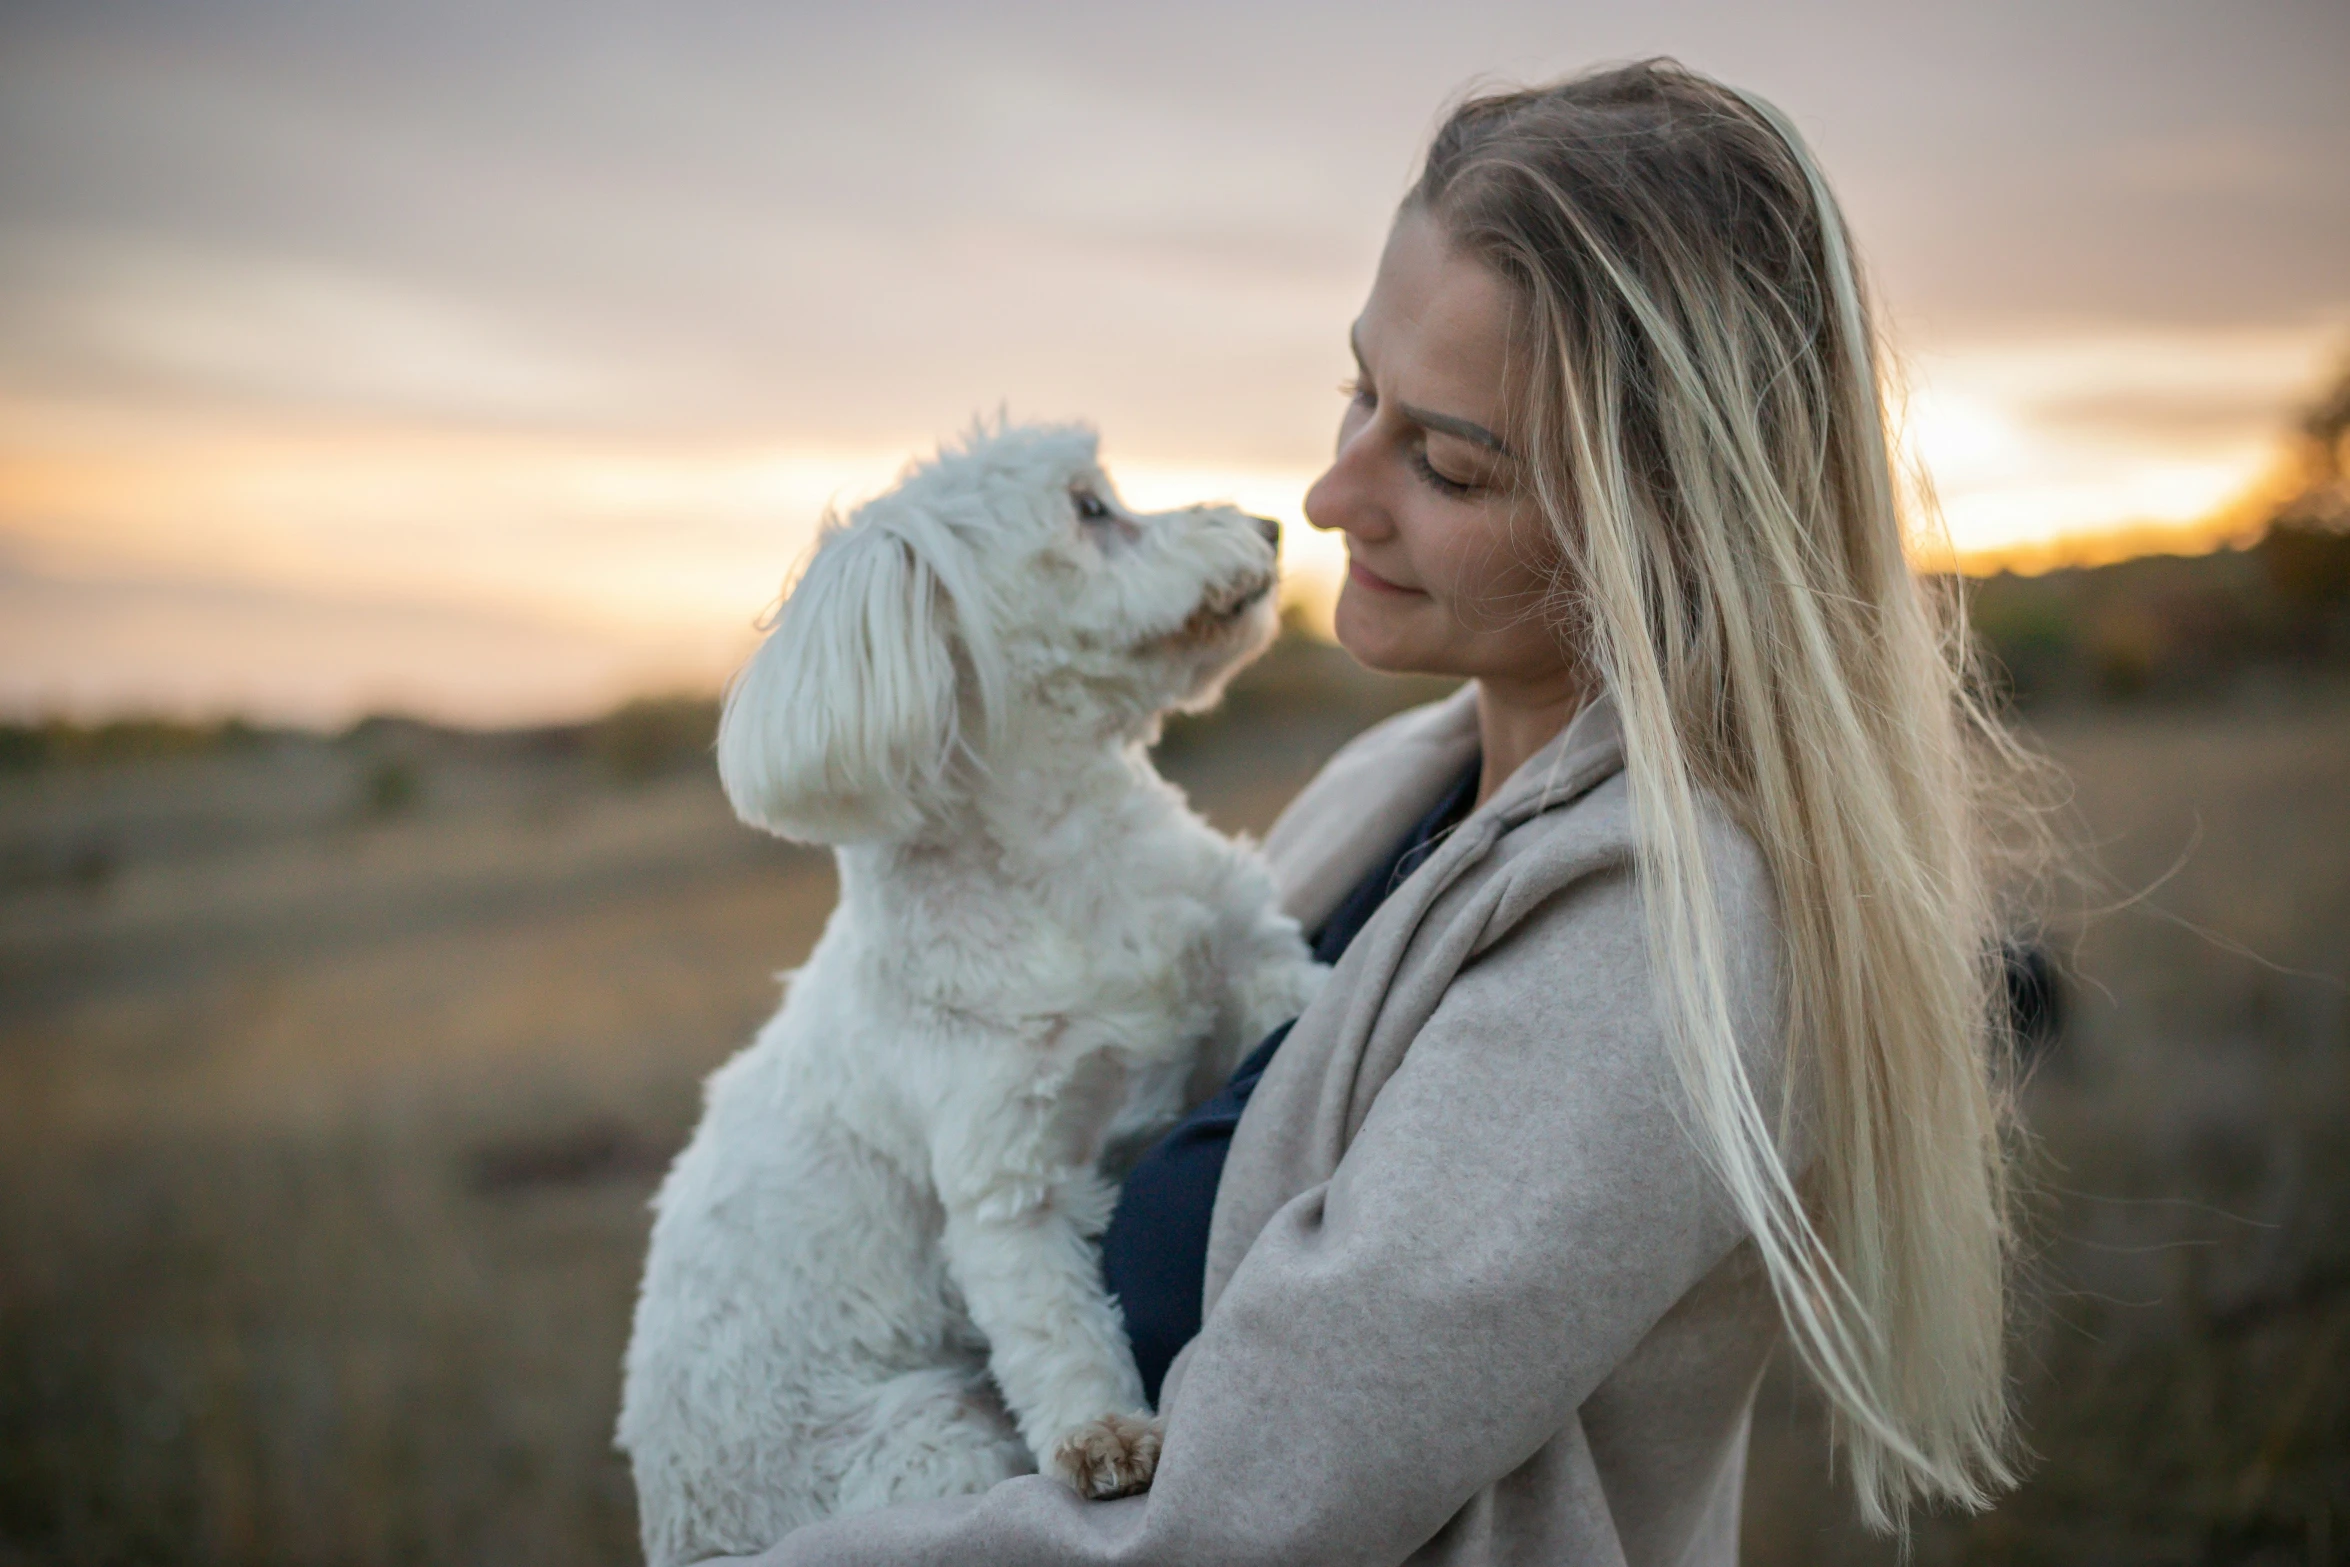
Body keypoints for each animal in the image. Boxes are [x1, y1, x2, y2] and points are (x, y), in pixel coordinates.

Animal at [615, 422, 1334, 1559]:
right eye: (1090, 509)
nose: (1267, 523)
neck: (1067, 856)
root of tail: (683, 1533)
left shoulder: (1256, 965)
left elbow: (1303, 998)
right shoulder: (1008, 1177)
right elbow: (1053, 1322)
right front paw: (1103, 1434)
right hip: (928, 1437)